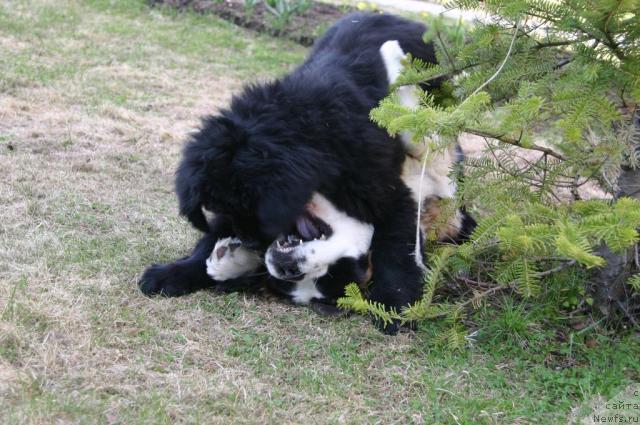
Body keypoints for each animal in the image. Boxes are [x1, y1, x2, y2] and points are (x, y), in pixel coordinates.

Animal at [139, 11, 476, 332]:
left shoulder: (385, 189)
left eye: (252, 213)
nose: (251, 242)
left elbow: (394, 245)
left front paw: (394, 306)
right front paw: (175, 273)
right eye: (230, 211)